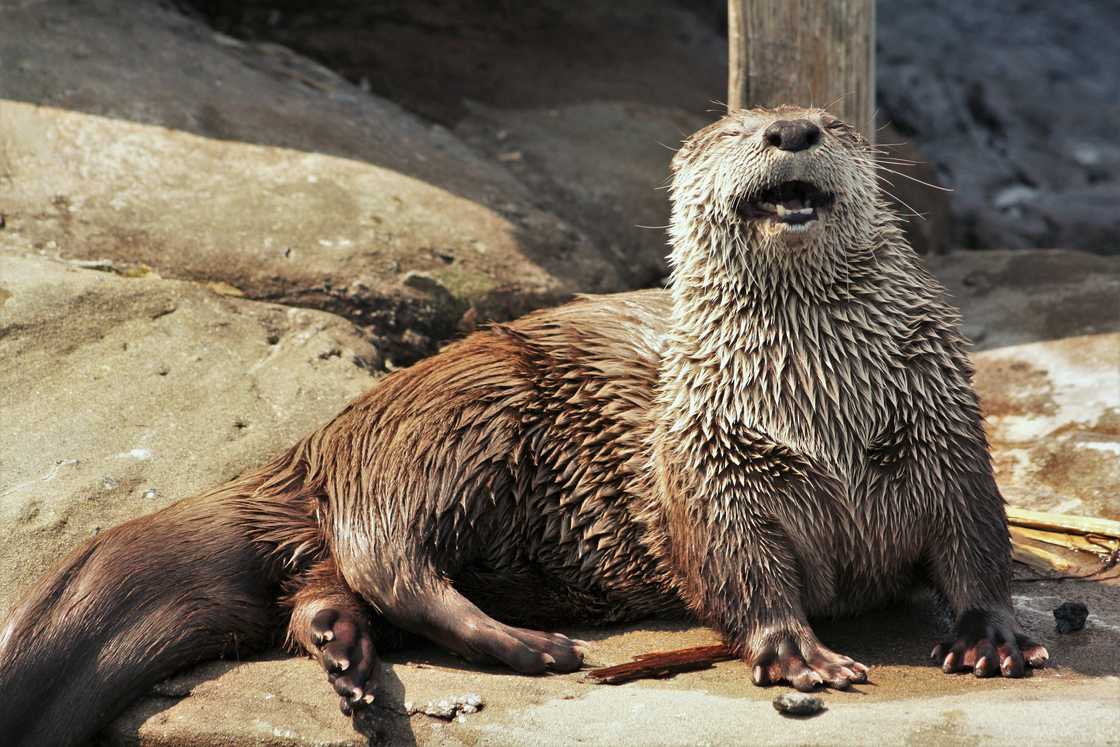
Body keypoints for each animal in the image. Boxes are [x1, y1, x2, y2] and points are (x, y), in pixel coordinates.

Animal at [2, 106, 1048, 747]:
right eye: (737, 127)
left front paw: (993, 634)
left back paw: (346, 655)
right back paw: (526, 647)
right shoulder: (709, 463)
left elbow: (975, 538)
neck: (818, 413)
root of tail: (317, 442)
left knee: (325, 583)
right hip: (459, 421)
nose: (790, 129)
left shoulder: (943, 430)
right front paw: (797, 652)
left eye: (829, 125)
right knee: (391, 556)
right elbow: (736, 566)